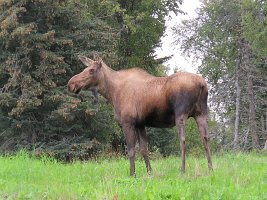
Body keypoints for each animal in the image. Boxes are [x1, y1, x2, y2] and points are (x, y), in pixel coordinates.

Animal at [68, 55, 214, 176]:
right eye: (86, 68)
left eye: (91, 70)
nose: (71, 84)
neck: (112, 93)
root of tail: (202, 85)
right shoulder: (140, 123)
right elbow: (144, 149)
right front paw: (150, 172)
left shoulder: (128, 123)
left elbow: (131, 150)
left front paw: (132, 174)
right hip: (201, 114)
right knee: (205, 139)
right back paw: (211, 169)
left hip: (181, 114)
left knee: (182, 141)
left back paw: (183, 170)